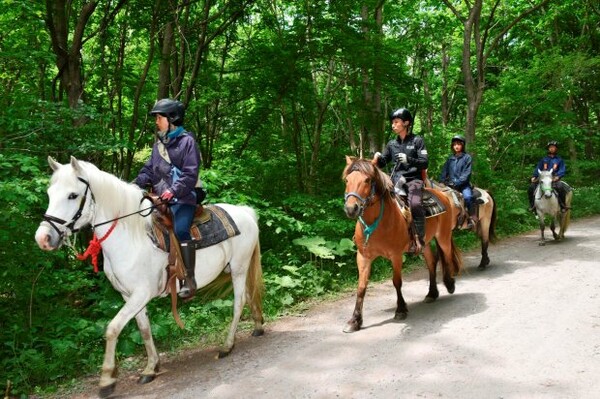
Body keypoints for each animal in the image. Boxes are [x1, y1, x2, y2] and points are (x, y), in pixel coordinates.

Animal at [34, 156, 264, 396]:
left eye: (72, 195)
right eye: (50, 193)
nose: (43, 238)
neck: (130, 237)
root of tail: (245, 211)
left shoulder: (141, 294)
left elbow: (112, 329)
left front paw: (107, 380)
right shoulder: (129, 296)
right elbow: (144, 329)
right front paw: (151, 368)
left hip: (238, 268)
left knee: (238, 302)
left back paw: (227, 346)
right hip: (236, 269)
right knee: (249, 295)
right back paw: (258, 326)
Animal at [340, 158, 462, 332]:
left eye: (367, 180)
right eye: (347, 180)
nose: (351, 209)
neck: (377, 222)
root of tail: (442, 195)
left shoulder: (396, 255)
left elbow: (397, 282)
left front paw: (401, 309)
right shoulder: (363, 257)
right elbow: (361, 287)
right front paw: (354, 320)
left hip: (443, 236)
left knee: (447, 256)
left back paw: (450, 284)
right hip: (424, 243)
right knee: (432, 262)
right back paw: (432, 293)